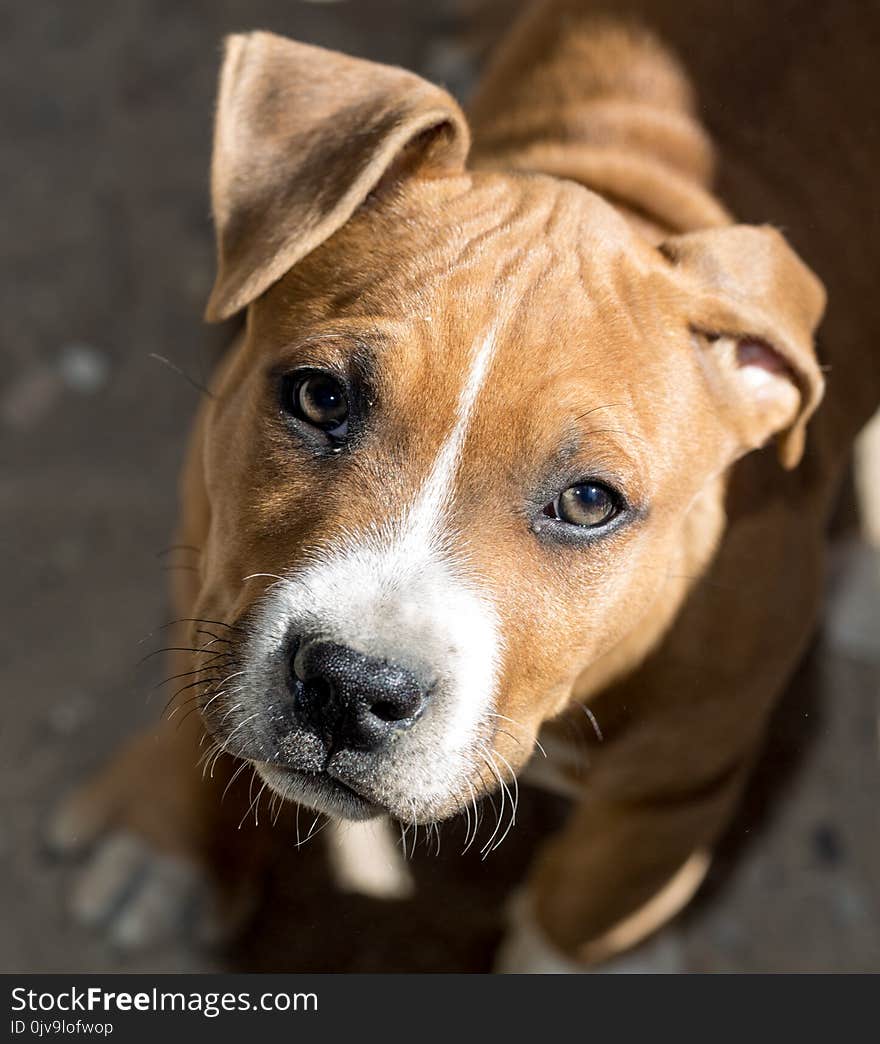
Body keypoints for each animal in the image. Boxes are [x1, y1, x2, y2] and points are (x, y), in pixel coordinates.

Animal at [49, 0, 880, 968]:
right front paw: (169, 842)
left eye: (589, 503)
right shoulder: (207, 549)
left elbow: (577, 913)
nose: (353, 685)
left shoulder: (676, 785)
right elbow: (196, 700)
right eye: (320, 397)